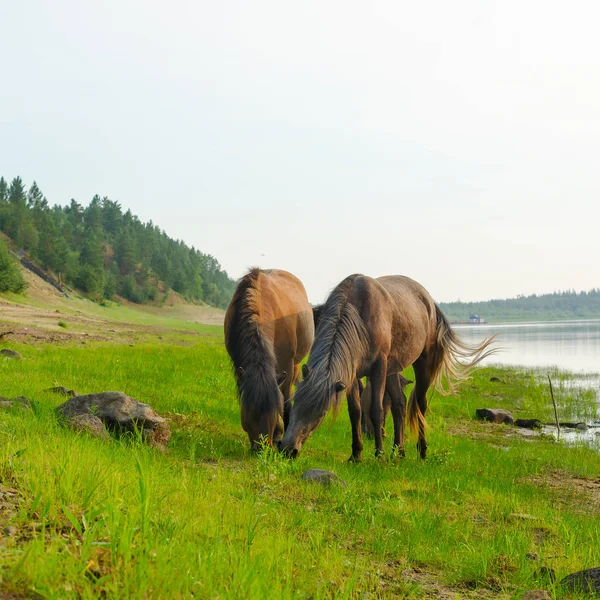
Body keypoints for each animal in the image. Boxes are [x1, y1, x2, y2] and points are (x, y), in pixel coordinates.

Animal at [221, 268, 314, 450]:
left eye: (273, 411)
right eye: (249, 411)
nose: (262, 448)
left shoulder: (287, 364)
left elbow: (285, 401)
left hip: (296, 364)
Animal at [278, 274, 494, 462]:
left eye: (321, 413)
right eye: (295, 402)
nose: (287, 449)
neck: (359, 316)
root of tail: (431, 303)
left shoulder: (378, 369)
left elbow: (377, 410)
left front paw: (378, 454)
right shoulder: (352, 373)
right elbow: (355, 411)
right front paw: (356, 454)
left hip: (422, 365)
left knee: (420, 404)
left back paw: (421, 451)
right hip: (392, 371)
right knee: (400, 405)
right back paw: (399, 452)